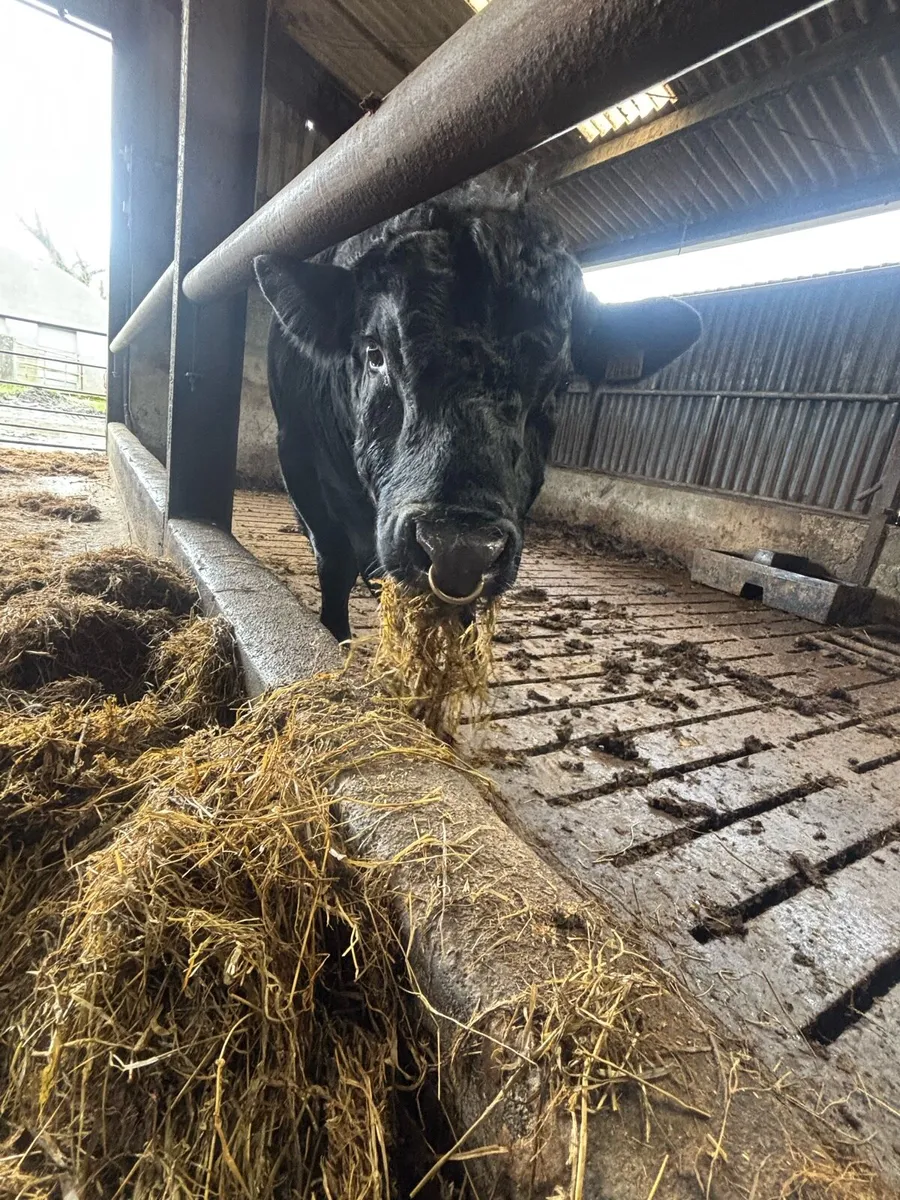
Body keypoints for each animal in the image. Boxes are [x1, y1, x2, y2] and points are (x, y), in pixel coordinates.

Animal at [254, 173, 700, 642]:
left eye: (561, 383)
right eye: (375, 353)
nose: (458, 550)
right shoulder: (296, 453)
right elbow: (333, 559)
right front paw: (337, 639)